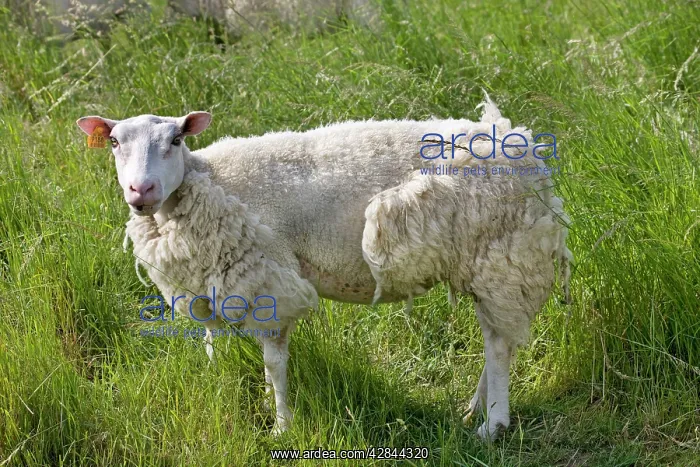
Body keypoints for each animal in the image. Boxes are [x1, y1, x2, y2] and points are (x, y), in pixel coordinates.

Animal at [76, 97, 573, 439]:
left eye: (176, 140)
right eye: (115, 142)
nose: (141, 190)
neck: (209, 179)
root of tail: (522, 145)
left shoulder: (269, 278)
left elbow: (274, 362)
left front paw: (282, 426)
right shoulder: (213, 282)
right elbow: (214, 342)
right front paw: (240, 392)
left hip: (501, 253)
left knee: (498, 345)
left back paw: (494, 424)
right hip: (485, 261)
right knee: (497, 334)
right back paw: (473, 409)